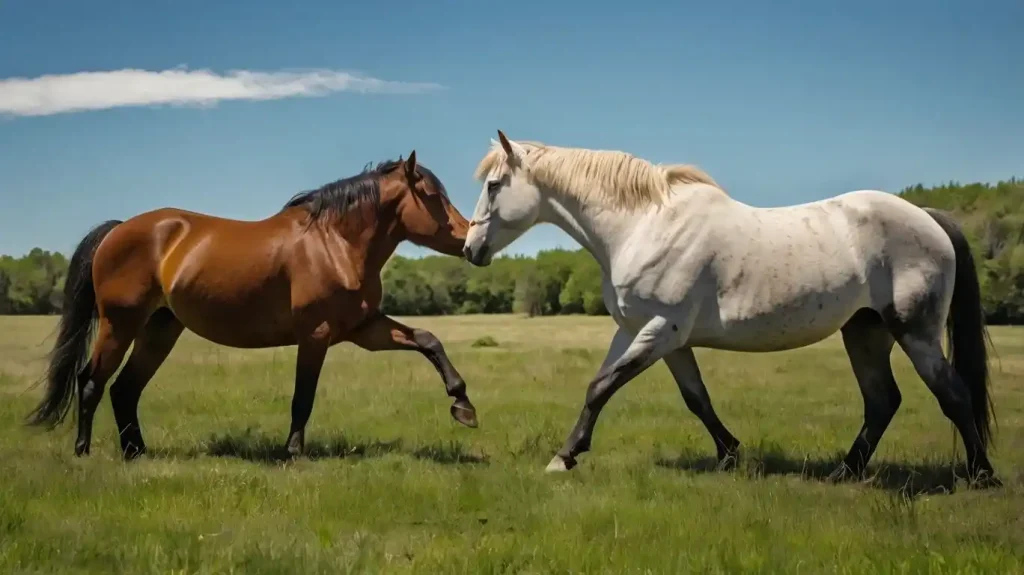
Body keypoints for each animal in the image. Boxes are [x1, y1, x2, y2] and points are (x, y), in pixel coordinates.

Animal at [26, 152, 480, 460]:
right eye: (432, 195)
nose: (469, 241)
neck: (335, 243)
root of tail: (118, 231)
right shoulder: (315, 335)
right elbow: (302, 398)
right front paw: (292, 453)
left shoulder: (364, 328)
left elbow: (427, 339)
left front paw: (463, 405)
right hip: (119, 324)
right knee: (91, 382)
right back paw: (84, 451)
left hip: (160, 329)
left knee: (124, 389)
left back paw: (137, 452)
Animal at [463, 130, 999, 487]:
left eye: (494, 185)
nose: (470, 249)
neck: (643, 225)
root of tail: (927, 217)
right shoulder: (649, 334)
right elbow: (692, 398)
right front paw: (730, 455)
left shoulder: (661, 330)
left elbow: (601, 388)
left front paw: (564, 458)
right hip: (865, 333)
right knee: (883, 401)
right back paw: (844, 471)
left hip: (916, 333)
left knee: (952, 394)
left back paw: (982, 475)